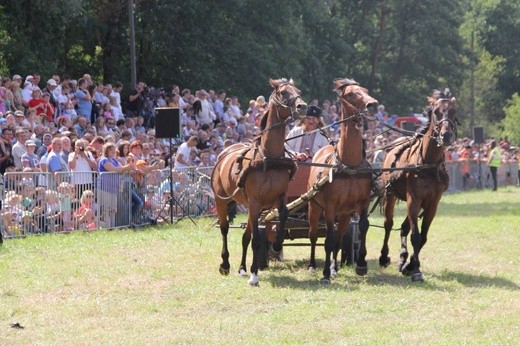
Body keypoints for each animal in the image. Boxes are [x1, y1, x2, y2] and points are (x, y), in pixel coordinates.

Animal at [212, 78, 308, 286]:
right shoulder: (255, 202)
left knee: (245, 236)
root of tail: (224, 153)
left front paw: (277, 244)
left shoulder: (279, 197)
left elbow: (284, 215)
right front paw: (254, 275)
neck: (268, 157)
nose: (302, 106)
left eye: (298, 91)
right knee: (224, 229)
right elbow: (256, 239)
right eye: (283, 92)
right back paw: (225, 264)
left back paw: (241, 268)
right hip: (222, 201)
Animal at [308, 79, 378, 284]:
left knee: (339, 238)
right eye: (351, 94)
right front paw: (324, 274)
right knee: (313, 235)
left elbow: (362, 227)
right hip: (314, 207)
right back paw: (313, 265)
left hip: (345, 214)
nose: (373, 105)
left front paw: (361, 265)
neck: (350, 165)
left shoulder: (361, 202)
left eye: (365, 90)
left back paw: (335, 268)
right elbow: (328, 239)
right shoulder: (330, 206)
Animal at [380, 88, 458, 282]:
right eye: (436, 112)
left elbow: (422, 237)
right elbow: (415, 236)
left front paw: (410, 265)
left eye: (454, 112)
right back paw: (384, 257)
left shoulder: (432, 203)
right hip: (391, 194)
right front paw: (415, 271)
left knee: (404, 227)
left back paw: (402, 259)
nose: (446, 136)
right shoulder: (414, 199)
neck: (427, 164)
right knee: (388, 224)